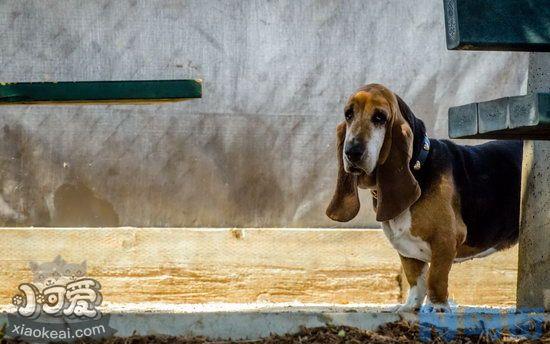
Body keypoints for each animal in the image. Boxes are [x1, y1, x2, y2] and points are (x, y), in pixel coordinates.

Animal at [328, 83, 528, 312]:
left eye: (380, 117)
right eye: (348, 114)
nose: (352, 152)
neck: (418, 167)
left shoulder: (445, 240)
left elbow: (436, 278)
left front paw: (438, 308)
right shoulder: (407, 252)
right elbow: (416, 281)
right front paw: (409, 308)